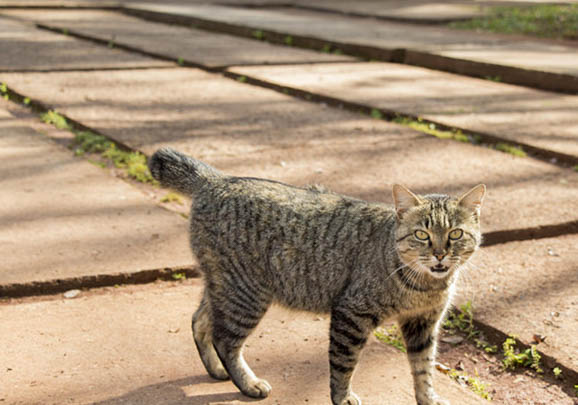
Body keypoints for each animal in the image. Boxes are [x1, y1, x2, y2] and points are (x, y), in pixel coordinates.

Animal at [147, 148, 482, 404]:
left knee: (200, 320)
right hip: (246, 295)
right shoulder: (351, 314)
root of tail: (217, 180)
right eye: (422, 235)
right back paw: (247, 382)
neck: (426, 285)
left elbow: (423, 369)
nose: (440, 254)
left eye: (455, 233)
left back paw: (217, 371)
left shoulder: (423, 324)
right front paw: (342, 398)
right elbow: (344, 365)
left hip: (225, 286)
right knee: (225, 339)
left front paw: (428, 398)